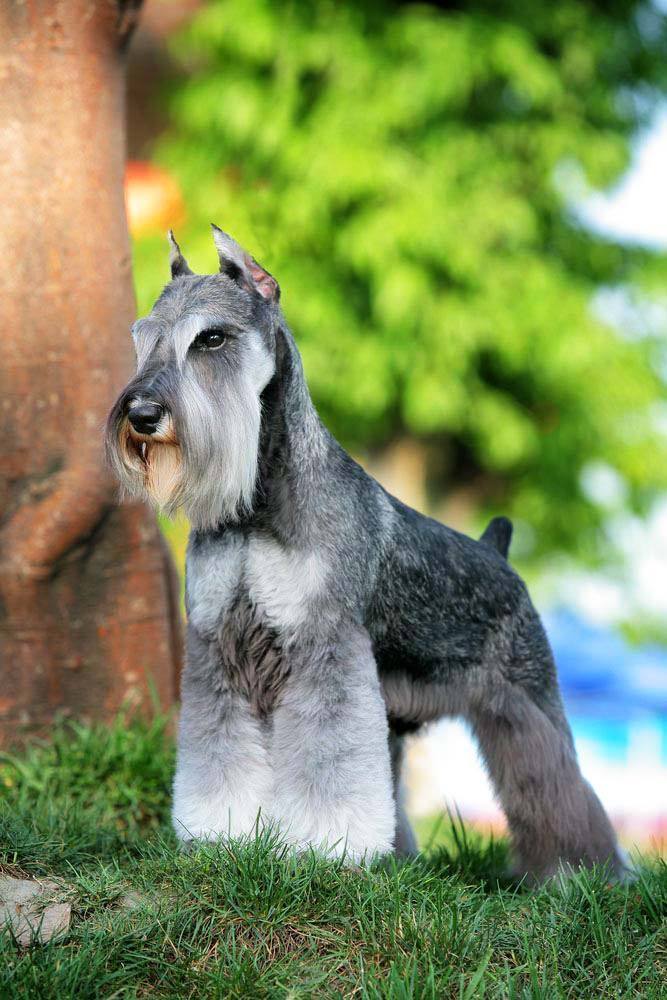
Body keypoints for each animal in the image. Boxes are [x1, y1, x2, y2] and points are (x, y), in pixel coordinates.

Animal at [105, 227, 628, 884]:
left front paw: (328, 847)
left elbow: (328, 760)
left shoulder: (325, 647)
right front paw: (219, 834)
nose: (142, 415)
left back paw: (583, 874)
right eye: (143, 336)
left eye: (212, 338)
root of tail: (500, 554)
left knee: (561, 785)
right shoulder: (218, 648)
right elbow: (218, 754)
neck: (258, 507)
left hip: (525, 705)